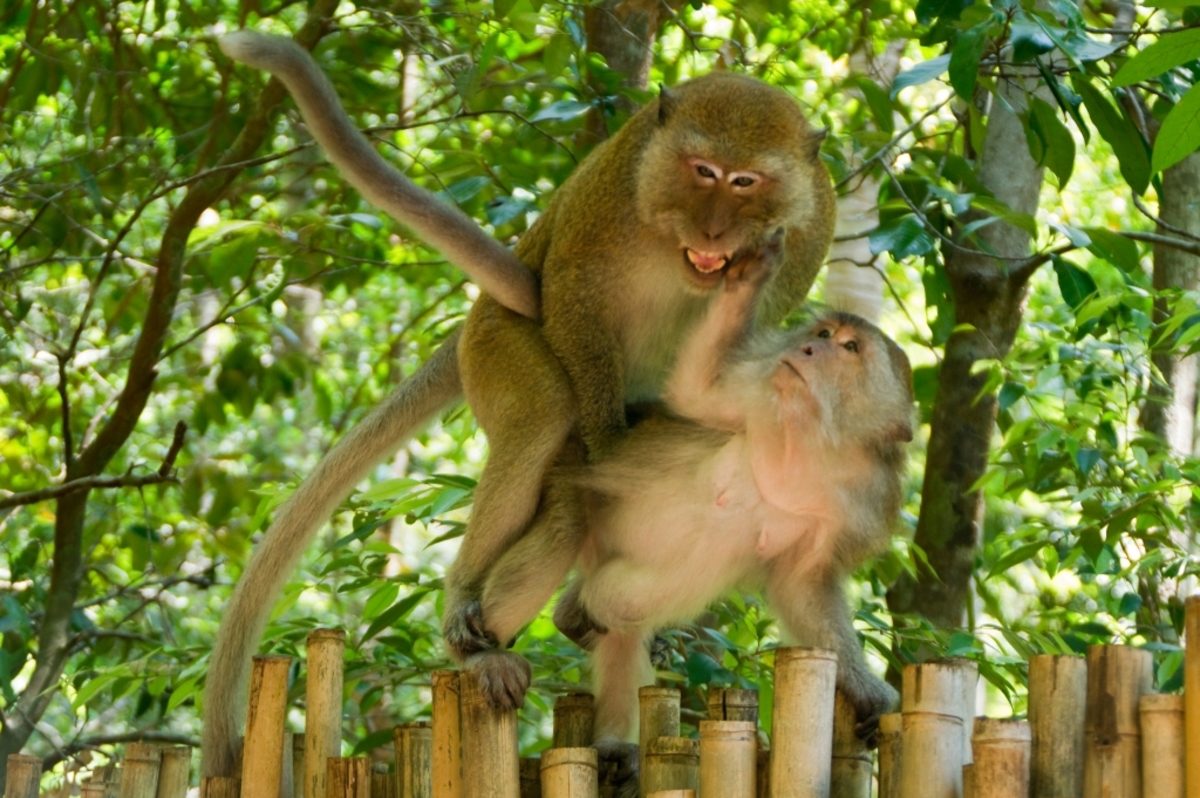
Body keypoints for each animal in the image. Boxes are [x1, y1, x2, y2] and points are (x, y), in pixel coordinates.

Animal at [204, 32, 835, 777]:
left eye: (746, 183)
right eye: (703, 171)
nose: (713, 231)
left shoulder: (808, 236)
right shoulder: (611, 191)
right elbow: (574, 290)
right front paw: (609, 448)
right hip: (495, 340)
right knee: (544, 414)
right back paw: (470, 631)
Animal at [554, 253, 916, 739]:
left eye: (851, 348)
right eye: (824, 334)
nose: (808, 349)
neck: (808, 442)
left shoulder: (866, 505)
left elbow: (802, 582)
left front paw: (867, 690)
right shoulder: (751, 395)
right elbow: (695, 391)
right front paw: (748, 279)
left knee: (623, 602)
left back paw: (575, 617)